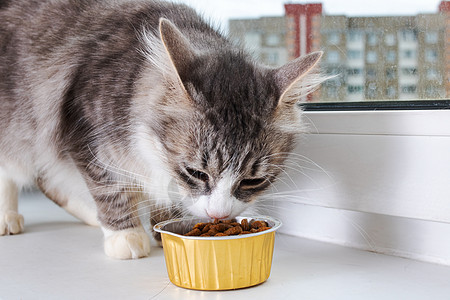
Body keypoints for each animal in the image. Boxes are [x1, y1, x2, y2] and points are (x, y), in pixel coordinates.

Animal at [0, 0, 324, 258]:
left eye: (252, 181)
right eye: (196, 173)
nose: (218, 214)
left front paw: (162, 227)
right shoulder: (85, 135)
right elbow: (110, 189)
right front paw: (126, 235)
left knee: (47, 180)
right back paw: (7, 217)